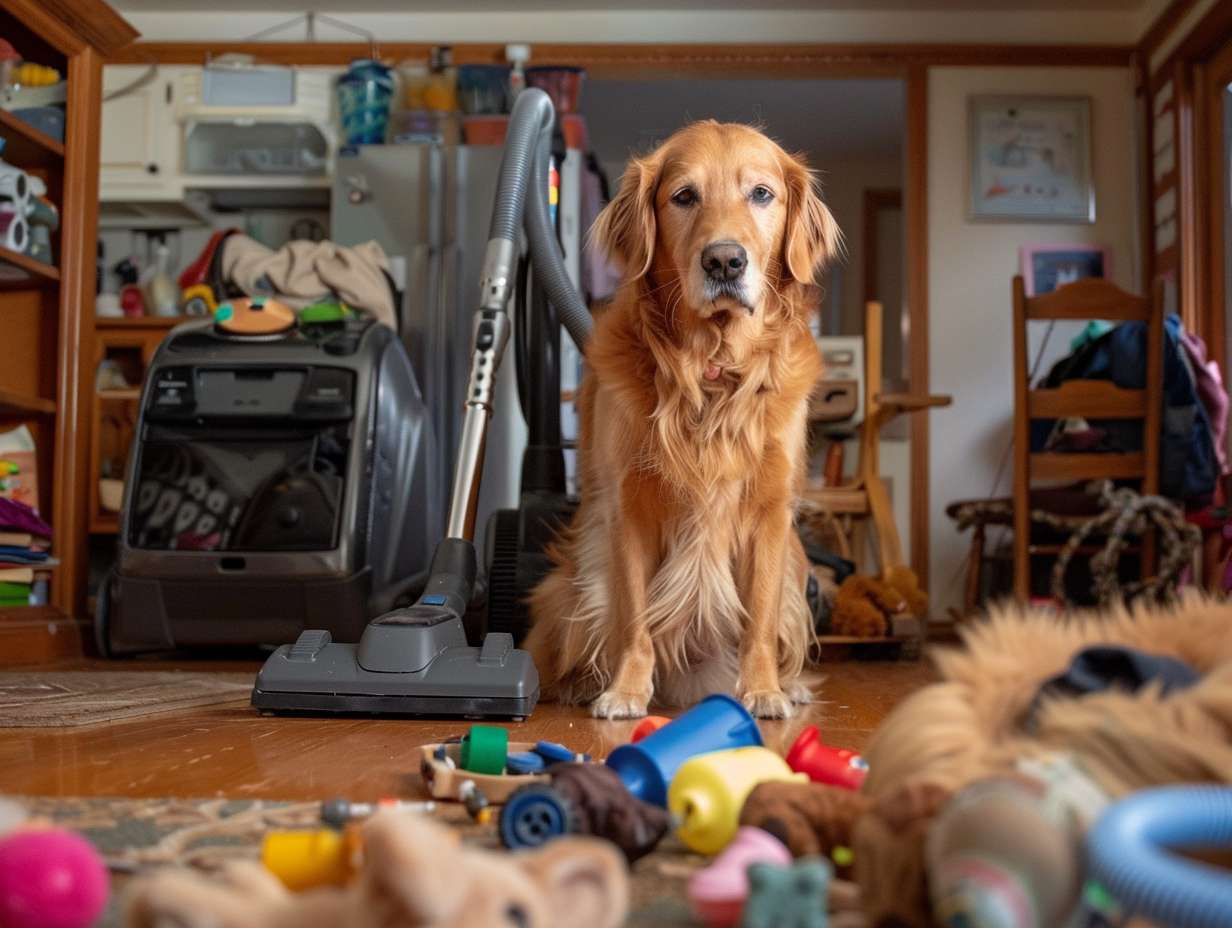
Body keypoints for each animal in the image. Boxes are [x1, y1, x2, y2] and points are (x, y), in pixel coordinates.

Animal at [524, 121, 842, 714]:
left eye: (761, 194)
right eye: (684, 196)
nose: (724, 261)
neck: (712, 370)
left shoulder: (770, 512)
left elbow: (759, 620)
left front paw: (763, 690)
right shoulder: (629, 506)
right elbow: (634, 619)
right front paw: (626, 690)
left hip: (797, 568)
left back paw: (788, 685)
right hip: (566, 585)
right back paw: (583, 685)